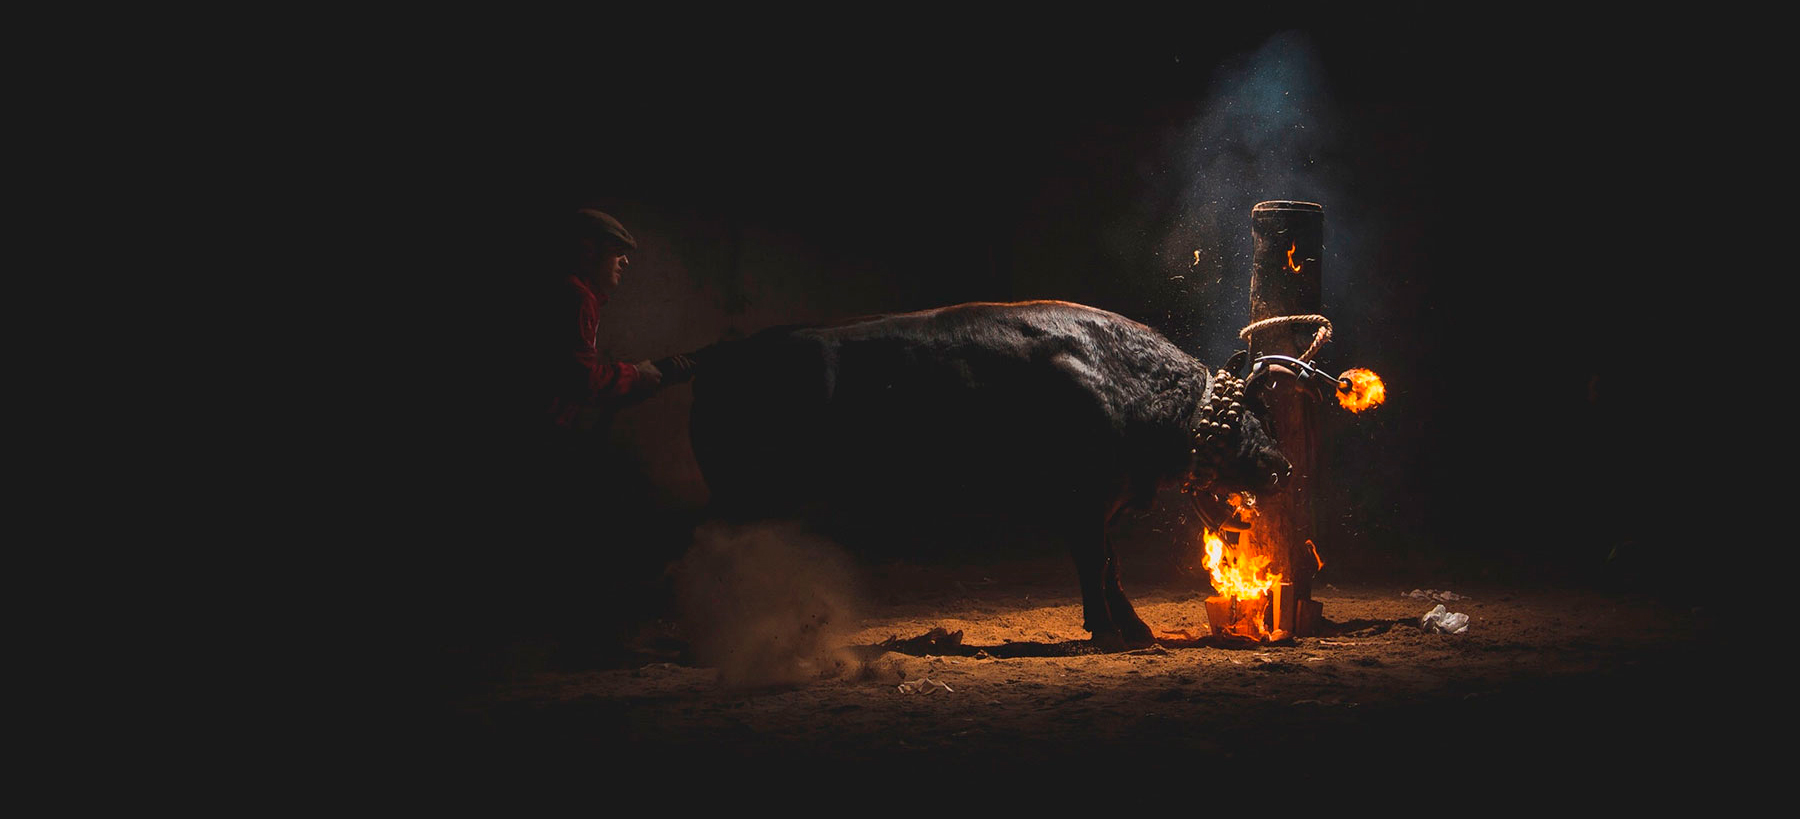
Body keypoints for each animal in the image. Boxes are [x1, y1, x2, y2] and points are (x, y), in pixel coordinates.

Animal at [680, 300, 1288, 648]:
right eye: (1246, 417)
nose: (1281, 465)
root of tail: (719, 354)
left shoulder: (1098, 508)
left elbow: (1111, 566)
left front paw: (1132, 631)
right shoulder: (1082, 504)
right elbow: (1097, 565)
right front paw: (1110, 633)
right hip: (746, 495)